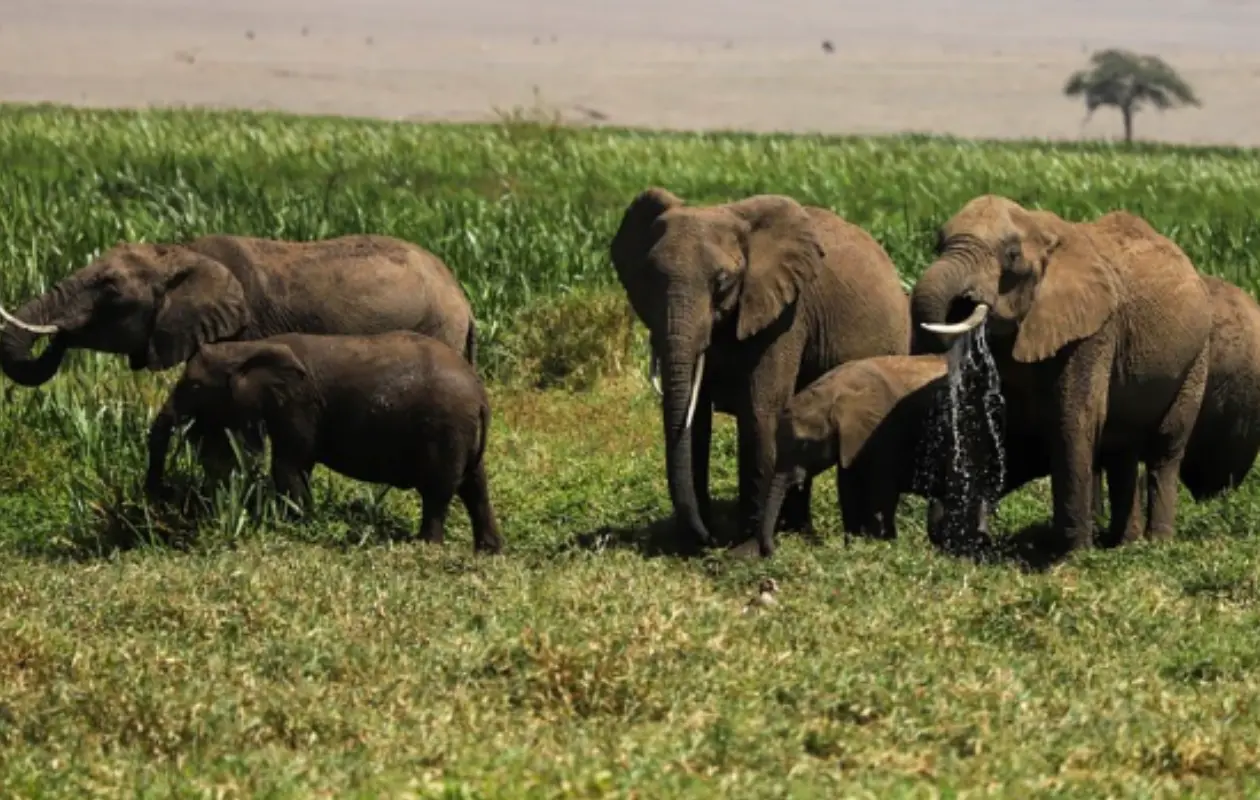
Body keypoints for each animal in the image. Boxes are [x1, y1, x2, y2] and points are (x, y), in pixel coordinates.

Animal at [145, 331, 503, 554]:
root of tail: (481, 397)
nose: (157, 504)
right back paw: (488, 552)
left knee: (438, 492)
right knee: (475, 486)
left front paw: (300, 528)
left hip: (446, 429)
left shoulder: (298, 404)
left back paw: (425, 547)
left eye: (193, 386)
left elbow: (290, 466)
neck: (248, 347)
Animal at [609, 187, 911, 556]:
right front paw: (689, 544)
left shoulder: (787, 313)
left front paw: (746, 551)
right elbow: (696, 422)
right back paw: (795, 530)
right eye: (647, 277)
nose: (709, 540)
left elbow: (760, 411)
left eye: (722, 282)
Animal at [909, 196, 1213, 552]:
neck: (1042, 231)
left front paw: (1072, 553)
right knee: (1120, 449)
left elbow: (1074, 418)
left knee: (1166, 448)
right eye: (937, 245)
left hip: (1196, 356)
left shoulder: (1094, 329)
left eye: (1011, 255)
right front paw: (966, 545)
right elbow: (979, 416)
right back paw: (1123, 543)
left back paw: (1156, 543)